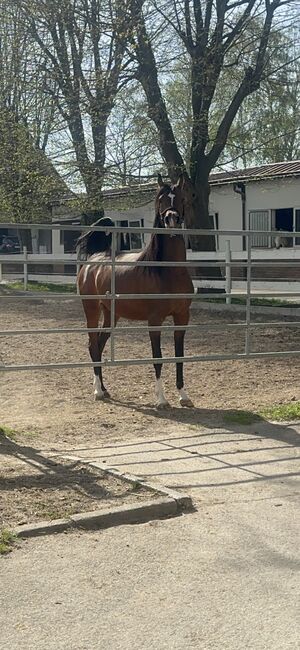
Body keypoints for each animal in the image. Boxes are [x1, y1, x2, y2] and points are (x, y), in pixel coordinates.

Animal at [77, 175, 195, 408]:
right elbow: (157, 358)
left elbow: (179, 356)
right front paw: (161, 400)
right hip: (92, 310)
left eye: (180, 198)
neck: (167, 271)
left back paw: (105, 389)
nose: (171, 219)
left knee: (100, 345)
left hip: (111, 315)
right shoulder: (155, 321)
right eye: (160, 200)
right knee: (93, 345)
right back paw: (97, 391)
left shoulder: (182, 317)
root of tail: (94, 259)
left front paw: (183, 395)